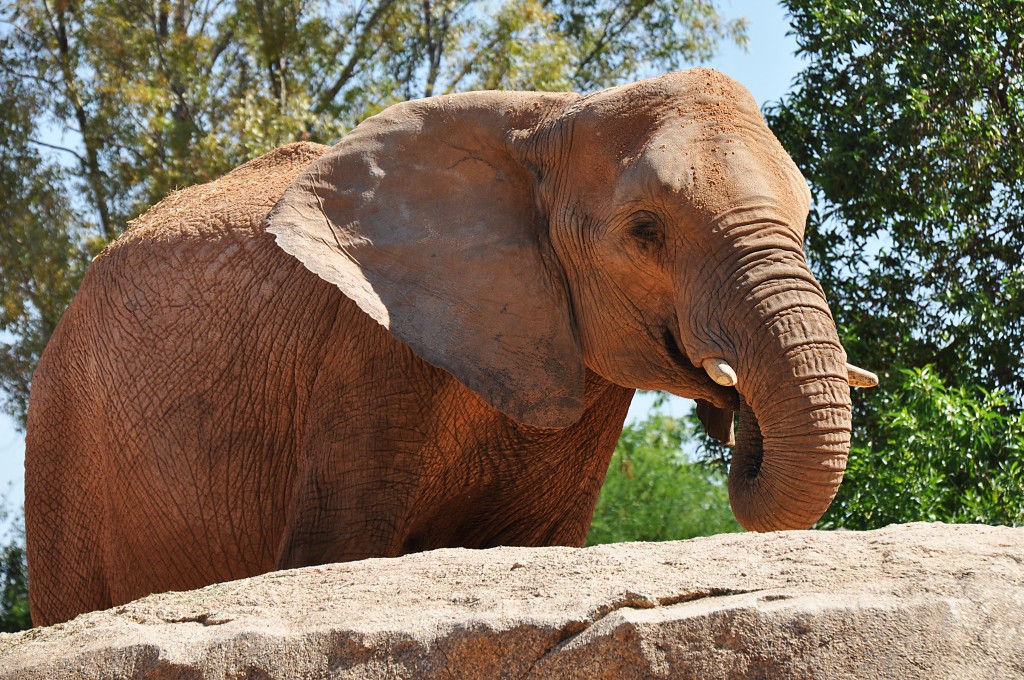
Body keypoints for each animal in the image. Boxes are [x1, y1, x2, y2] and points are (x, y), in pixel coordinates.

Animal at [24, 69, 872, 626]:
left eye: (805, 219)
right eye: (645, 231)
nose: (731, 411)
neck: (553, 114)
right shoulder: (365, 348)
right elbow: (339, 550)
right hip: (62, 433)